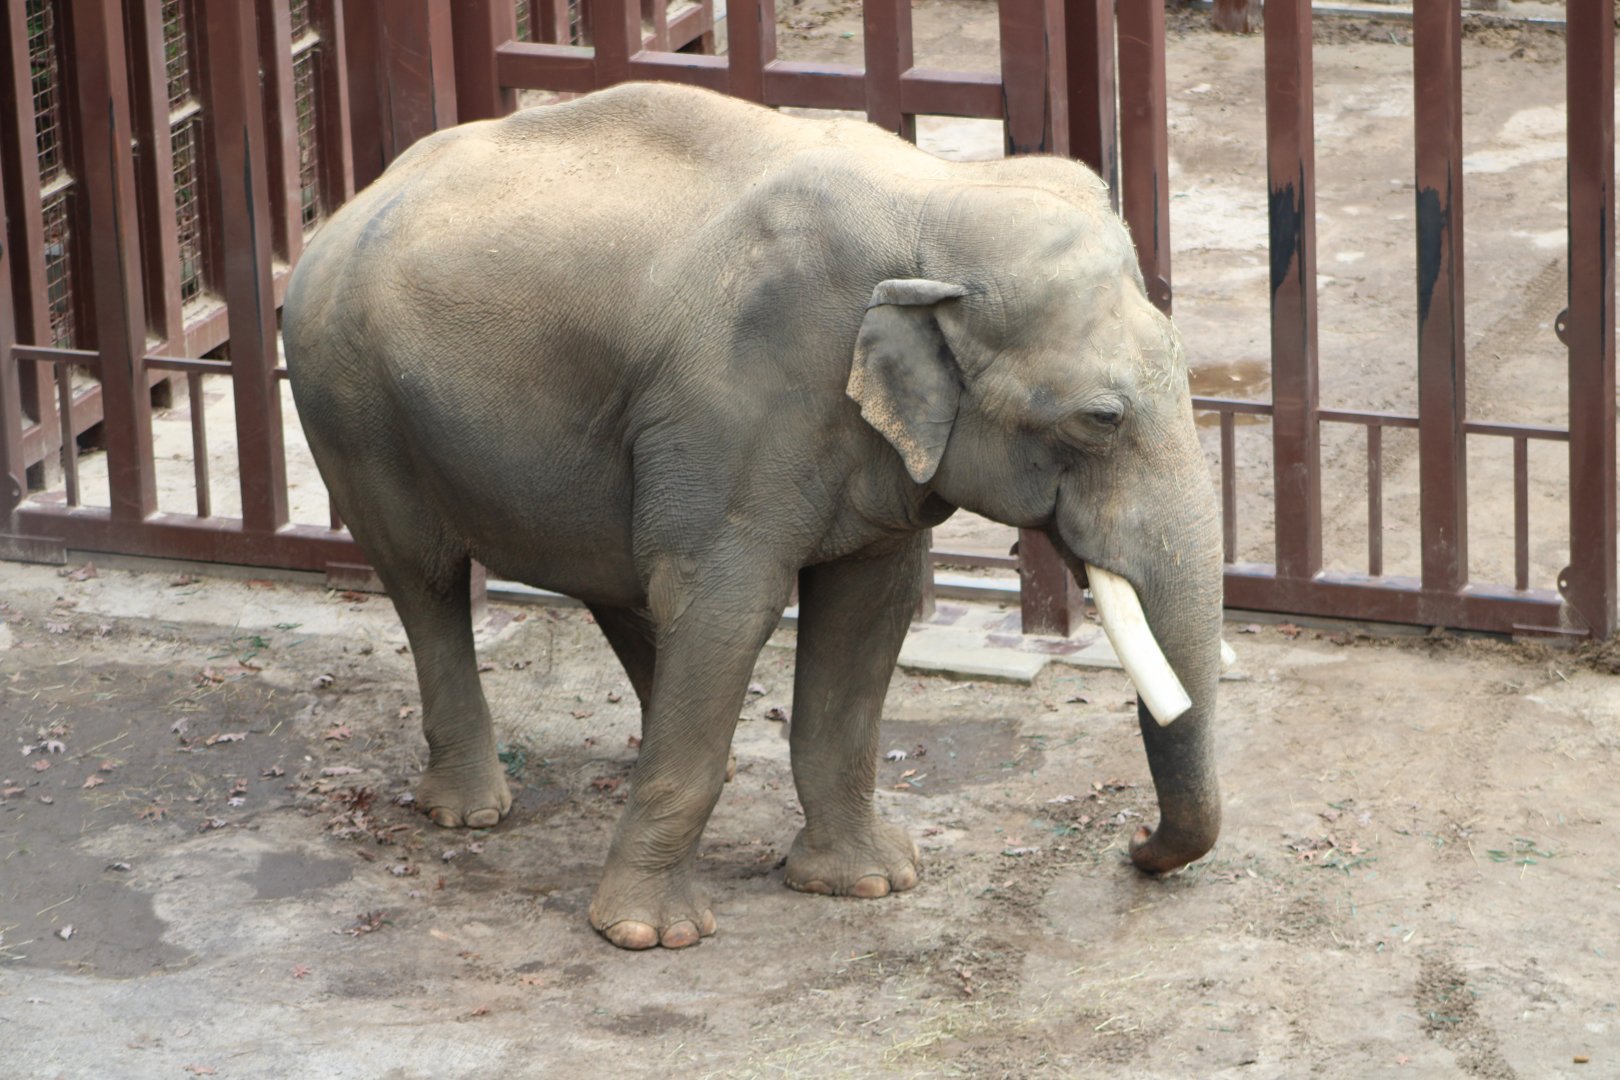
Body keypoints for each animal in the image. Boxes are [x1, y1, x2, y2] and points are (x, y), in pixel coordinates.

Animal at [282, 82, 1223, 950]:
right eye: (1100, 419)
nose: (1134, 847)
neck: (939, 198)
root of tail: (343, 209)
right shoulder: (738, 404)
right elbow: (728, 605)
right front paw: (649, 937)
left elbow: (868, 610)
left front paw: (871, 883)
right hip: (350, 400)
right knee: (426, 579)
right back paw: (471, 813)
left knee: (614, 580)